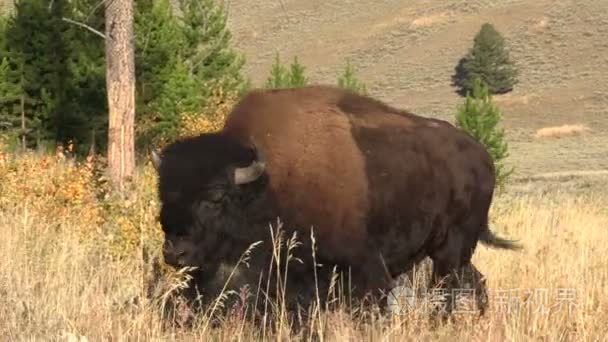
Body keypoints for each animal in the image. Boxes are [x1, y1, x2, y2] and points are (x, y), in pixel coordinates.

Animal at [150, 85, 520, 320]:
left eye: (214, 197)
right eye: (162, 193)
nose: (175, 252)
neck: (269, 184)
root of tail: (482, 157)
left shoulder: (363, 268)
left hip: (451, 249)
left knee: (446, 290)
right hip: (452, 251)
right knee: (475, 281)